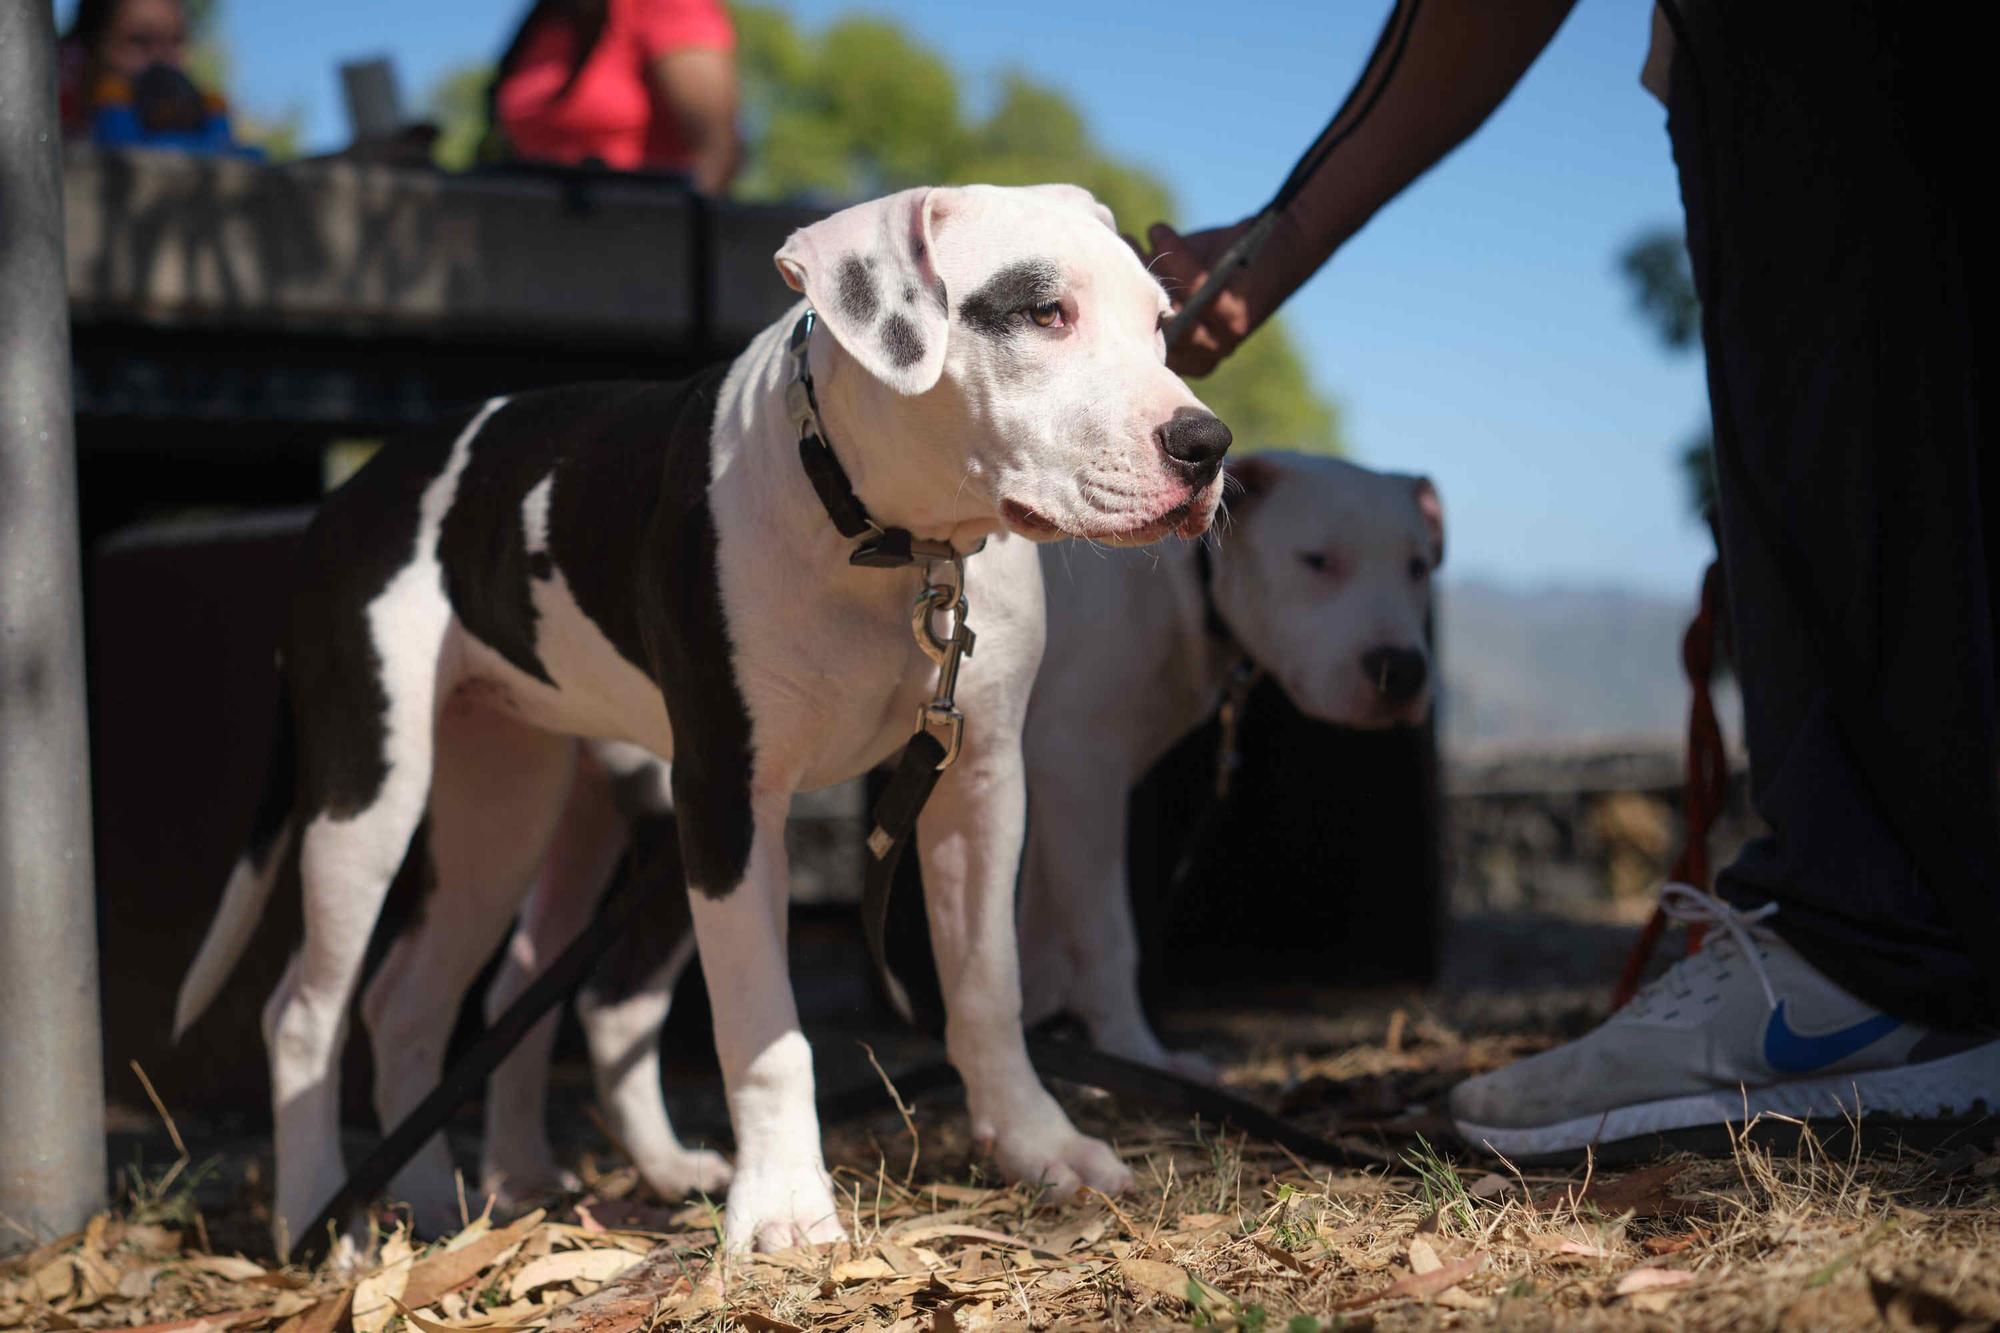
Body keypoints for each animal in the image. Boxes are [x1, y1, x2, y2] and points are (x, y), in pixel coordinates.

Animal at [176, 182, 1232, 1248]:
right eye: (1043, 312)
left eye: (1158, 323)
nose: (1206, 444)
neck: (888, 535)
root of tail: (350, 495)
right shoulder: (729, 795)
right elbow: (764, 1029)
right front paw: (786, 1206)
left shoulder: (978, 782)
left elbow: (987, 987)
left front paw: (1036, 1146)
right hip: (369, 793)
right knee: (304, 1013)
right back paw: (317, 1217)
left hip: (502, 805)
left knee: (415, 1000)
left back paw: (437, 1201)